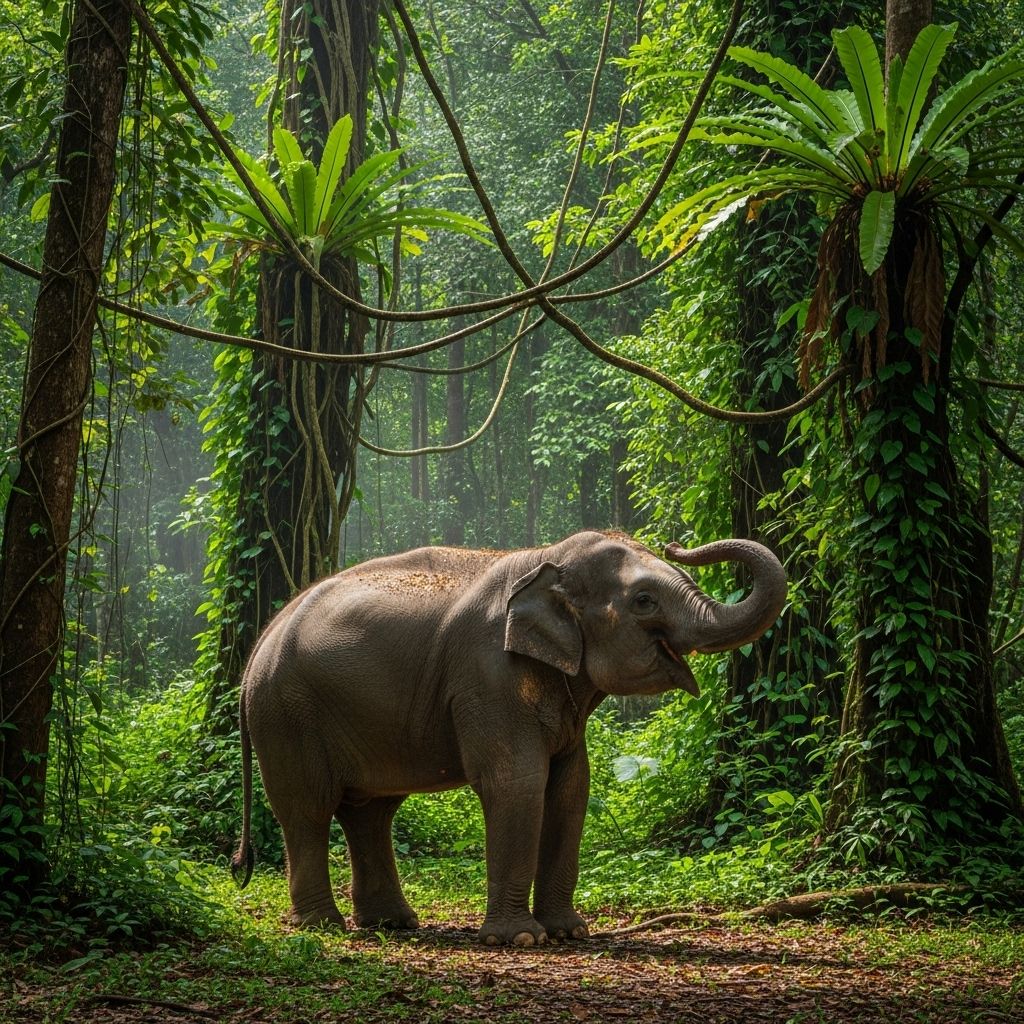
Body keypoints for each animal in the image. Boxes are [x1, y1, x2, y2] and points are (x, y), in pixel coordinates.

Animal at [232, 530, 786, 945]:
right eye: (644, 601)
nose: (676, 545)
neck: (545, 558)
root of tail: (259, 644)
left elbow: (570, 788)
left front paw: (569, 932)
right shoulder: (489, 675)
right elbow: (516, 782)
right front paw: (520, 939)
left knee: (370, 811)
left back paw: (393, 924)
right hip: (286, 714)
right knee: (307, 808)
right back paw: (322, 926)